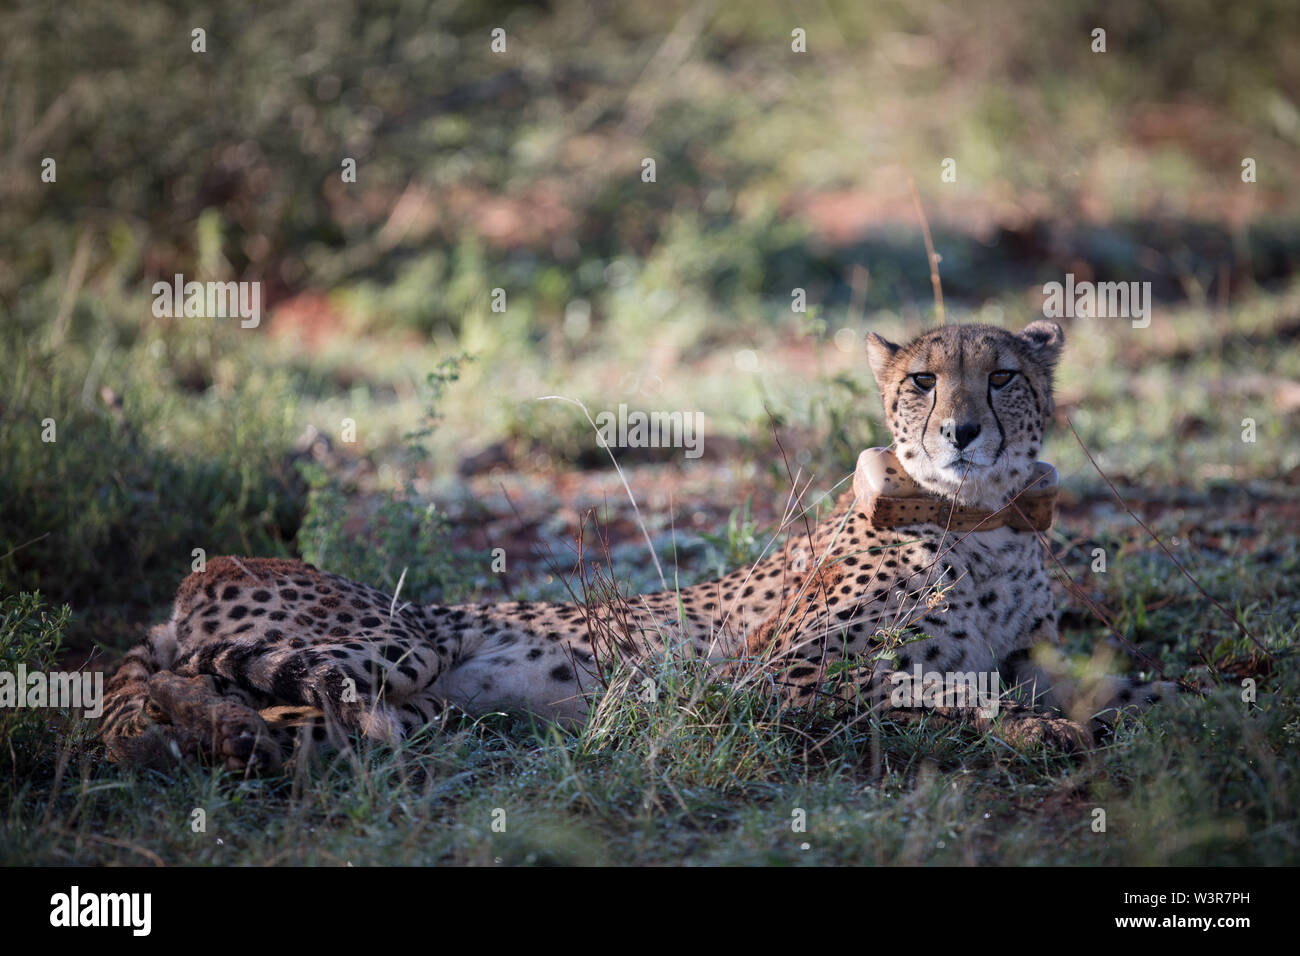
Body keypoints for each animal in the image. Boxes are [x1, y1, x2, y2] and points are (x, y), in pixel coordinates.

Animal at [101, 321, 1175, 770]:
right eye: (921, 380)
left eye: (1002, 376)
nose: (961, 432)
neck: (979, 522)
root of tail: (214, 566)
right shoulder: (774, 682)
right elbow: (935, 698)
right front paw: (1036, 732)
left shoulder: (1042, 649)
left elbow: (1108, 684)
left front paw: (1113, 717)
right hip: (398, 642)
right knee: (180, 692)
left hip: (384, 700)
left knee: (263, 718)